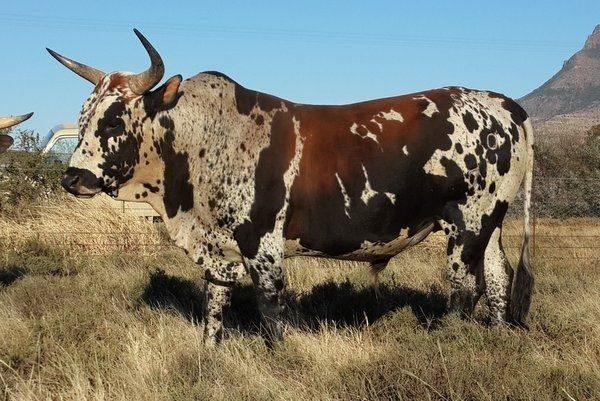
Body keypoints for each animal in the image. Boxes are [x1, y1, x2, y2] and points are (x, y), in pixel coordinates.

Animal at [48, 30, 536, 344]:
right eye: (84, 114)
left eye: (113, 120)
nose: (72, 177)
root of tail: (500, 102)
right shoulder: (218, 246)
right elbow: (214, 302)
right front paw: (210, 352)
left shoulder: (262, 243)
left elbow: (270, 309)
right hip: (489, 225)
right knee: (497, 280)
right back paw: (495, 340)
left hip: (467, 224)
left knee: (465, 288)